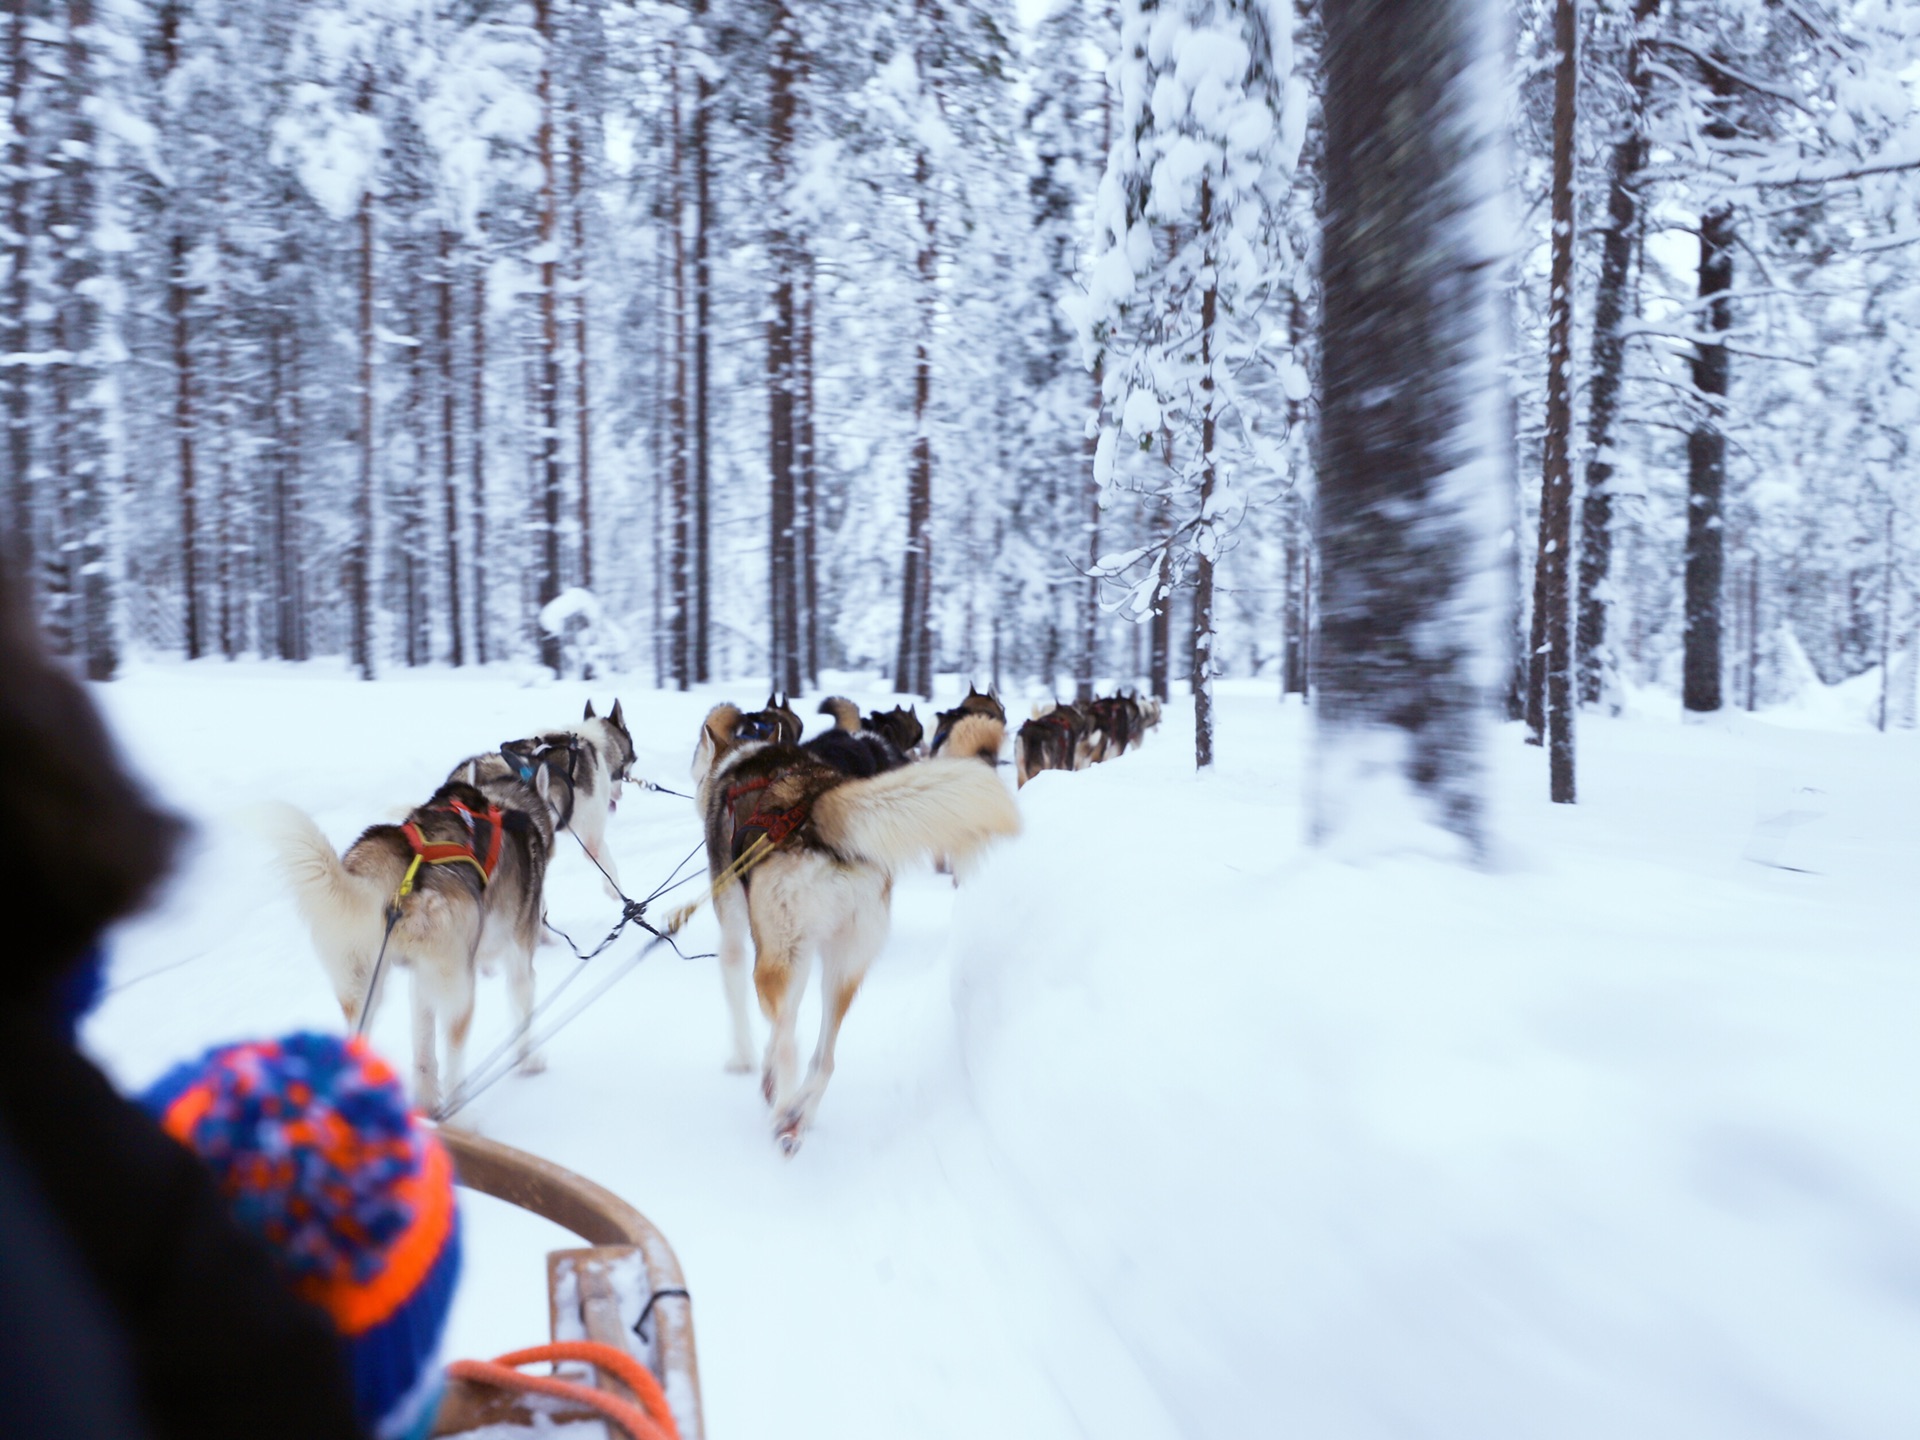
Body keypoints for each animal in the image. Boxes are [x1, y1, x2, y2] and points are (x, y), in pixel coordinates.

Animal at [259, 783, 556, 1113]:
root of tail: (395, 878)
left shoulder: (420, 980)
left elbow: (424, 1050)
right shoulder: (519, 960)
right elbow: (523, 1014)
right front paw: (529, 1061)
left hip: (364, 985)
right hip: (459, 991)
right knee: (455, 1059)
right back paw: (459, 1111)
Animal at [691, 706, 1021, 1159]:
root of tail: (818, 804)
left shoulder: (736, 930)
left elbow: (739, 995)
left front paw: (742, 1060)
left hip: (778, 957)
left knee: (789, 1041)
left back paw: (784, 1110)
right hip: (843, 965)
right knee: (823, 1059)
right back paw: (799, 1112)